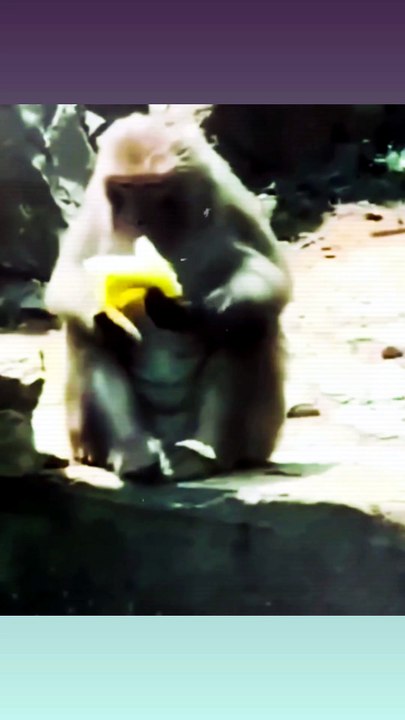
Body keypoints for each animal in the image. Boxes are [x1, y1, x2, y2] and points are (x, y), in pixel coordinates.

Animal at [45, 106, 292, 482]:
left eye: (152, 187)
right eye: (125, 187)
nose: (137, 218)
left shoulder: (226, 193)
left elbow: (275, 278)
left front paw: (197, 311)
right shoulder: (95, 207)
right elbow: (67, 279)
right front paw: (106, 318)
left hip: (260, 436)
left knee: (248, 327)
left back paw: (203, 453)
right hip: (84, 436)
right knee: (86, 336)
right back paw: (133, 451)